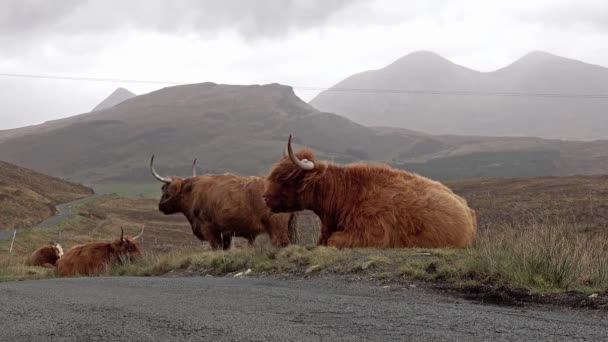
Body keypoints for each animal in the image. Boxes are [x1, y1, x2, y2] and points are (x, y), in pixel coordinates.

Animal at [151, 155, 296, 248]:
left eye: (165, 190)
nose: (160, 206)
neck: (193, 193)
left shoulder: (209, 229)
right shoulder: (226, 233)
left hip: (277, 230)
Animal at [264, 134, 478, 248]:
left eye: (283, 179)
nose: (265, 197)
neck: (347, 194)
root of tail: (467, 208)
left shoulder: (371, 235)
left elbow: (334, 240)